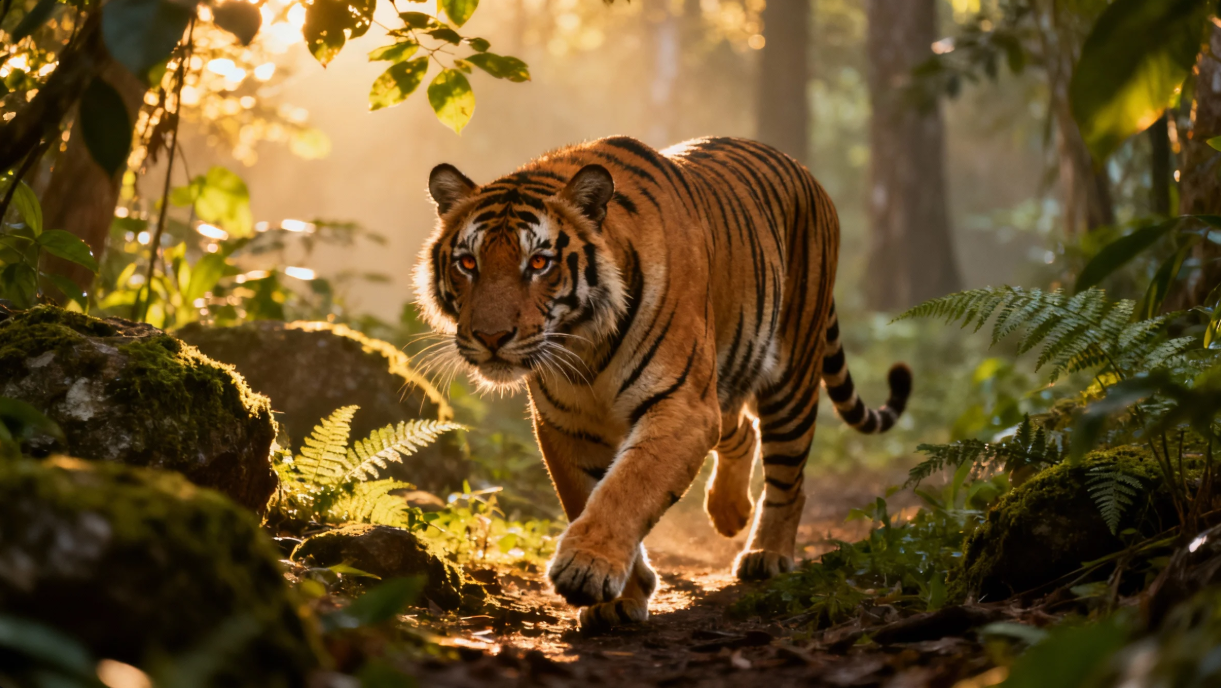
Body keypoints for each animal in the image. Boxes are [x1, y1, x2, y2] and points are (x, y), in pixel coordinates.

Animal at [413, 136, 911, 629]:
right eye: (467, 263)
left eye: (538, 263)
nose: (491, 337)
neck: (584, 344)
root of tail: (803, 170)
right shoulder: (567, 423)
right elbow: (585, 494)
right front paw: (620, 596)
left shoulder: (682, 405)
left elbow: (629, 486)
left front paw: (585, 567)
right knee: (742, 430)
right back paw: (729, 512)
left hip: (791, 372)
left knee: (790, 475)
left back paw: (766, 554)